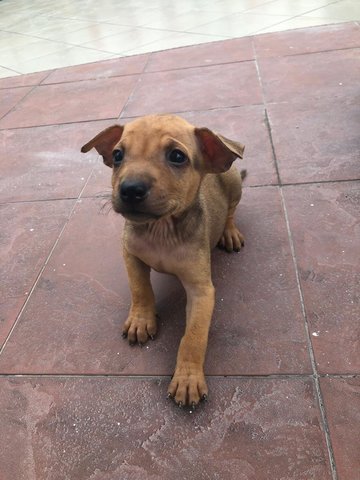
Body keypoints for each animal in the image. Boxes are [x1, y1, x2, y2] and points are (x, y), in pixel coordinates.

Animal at [81, 113, 245, 408]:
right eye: (118, 155)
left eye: (177, 156)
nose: (130, 189)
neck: (161, 231)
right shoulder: (130, 254)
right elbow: (140, 288)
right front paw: (140, 320)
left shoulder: (202, 291)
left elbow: (194, 336)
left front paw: (188, 378)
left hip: (233, 182)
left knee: (230, 212)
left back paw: (229, 232)